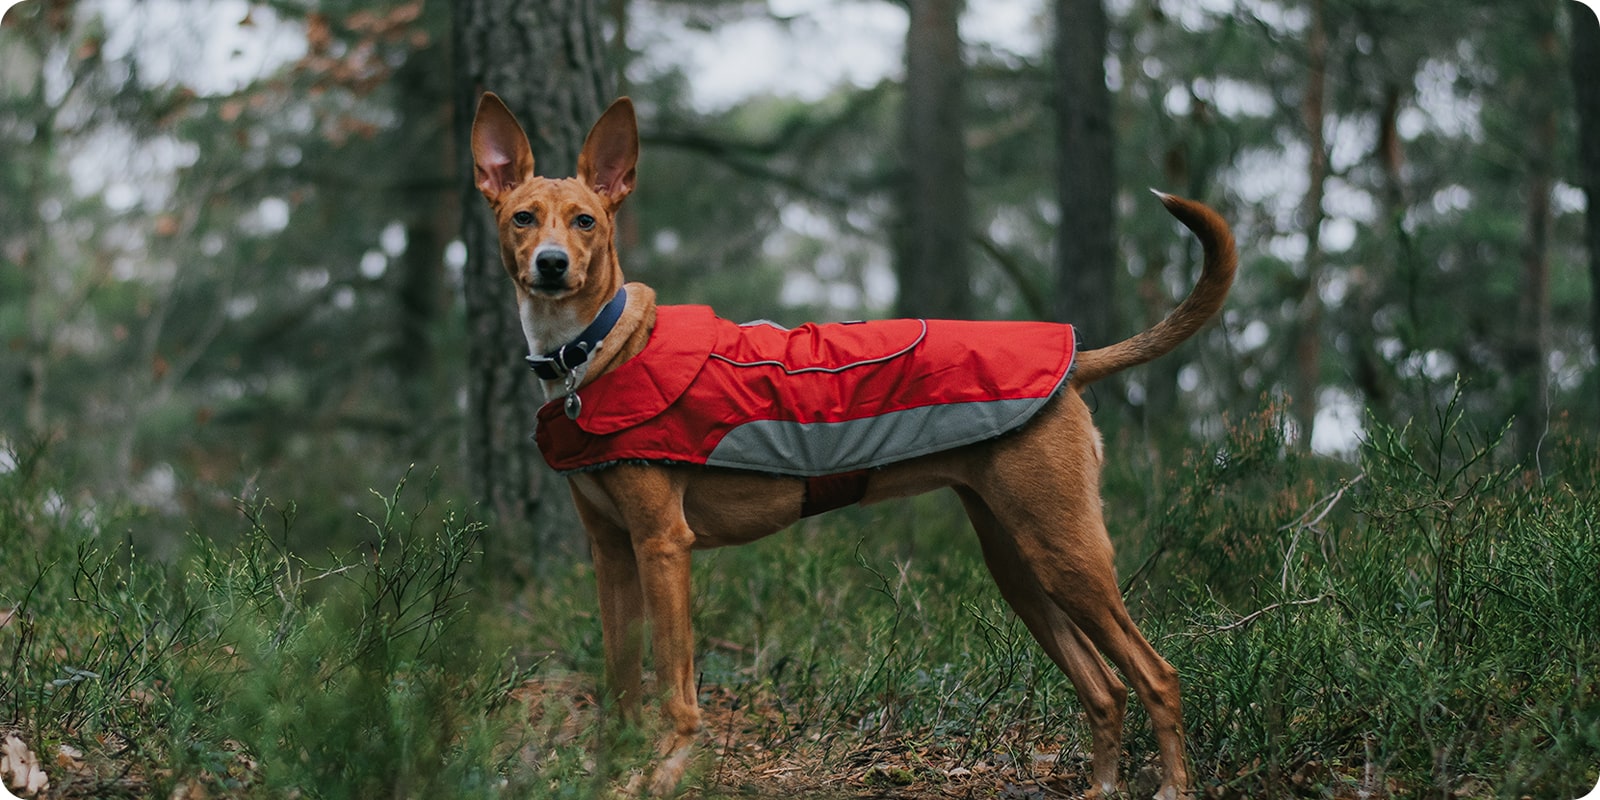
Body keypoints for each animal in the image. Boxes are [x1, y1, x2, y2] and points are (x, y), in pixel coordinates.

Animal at [467, 90, 1241, 796]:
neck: (593, 353)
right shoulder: (611, 551)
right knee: (1105, 687)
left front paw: (659, 775)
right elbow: (622, 683)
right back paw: (1103, 785)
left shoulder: (662, 544)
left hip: (1066, 552)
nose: (552, 264)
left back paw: (1173, 785)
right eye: (523, 217)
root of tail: (1074, 357)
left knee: (1158, 674)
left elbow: (675, 691)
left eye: (586, 221)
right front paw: (613, 773)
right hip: (1018, 562)